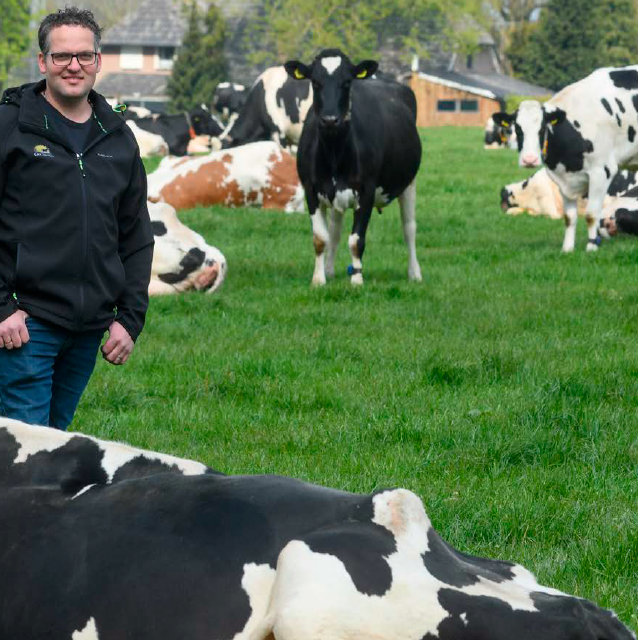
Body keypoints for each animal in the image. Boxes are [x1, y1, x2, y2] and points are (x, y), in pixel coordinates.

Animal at [288, 47, 422, 282]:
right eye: (315, 82)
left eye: (347, 82)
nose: (330, 120)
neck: (334, 154)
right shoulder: (311, 190)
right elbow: (321, 238)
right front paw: (319, 279)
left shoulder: (366, 191)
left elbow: (356, 240)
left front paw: (357, 280)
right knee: (335, 230)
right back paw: (329, 269)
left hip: (409, 182)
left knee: (409, 228)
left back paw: (414, 273)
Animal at [496, 65, 638, 252]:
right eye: (517, 129)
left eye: (542, 128)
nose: (529, 160)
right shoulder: (563, 180)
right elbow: (569, 217)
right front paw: (567, 249)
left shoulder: (602, 171)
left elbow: (591, 214)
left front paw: (591, 247)